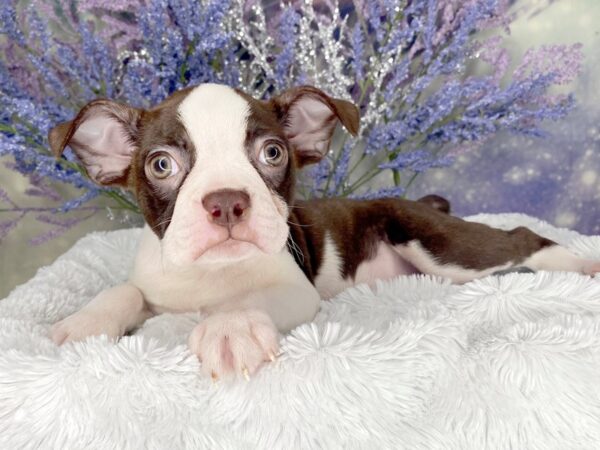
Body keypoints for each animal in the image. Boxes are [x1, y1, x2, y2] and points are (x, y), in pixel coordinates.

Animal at [48, 84, 600, 380]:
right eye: (161, 164)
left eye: (273, 152)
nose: (226, 201)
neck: (212, 277)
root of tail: (418, 203)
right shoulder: (157, 287)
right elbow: (125, 290)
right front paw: (85, 322)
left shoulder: (294, 290)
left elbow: (247, 300)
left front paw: (231, 327)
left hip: (442, 246)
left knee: (522, 238)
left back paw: (582, 263)